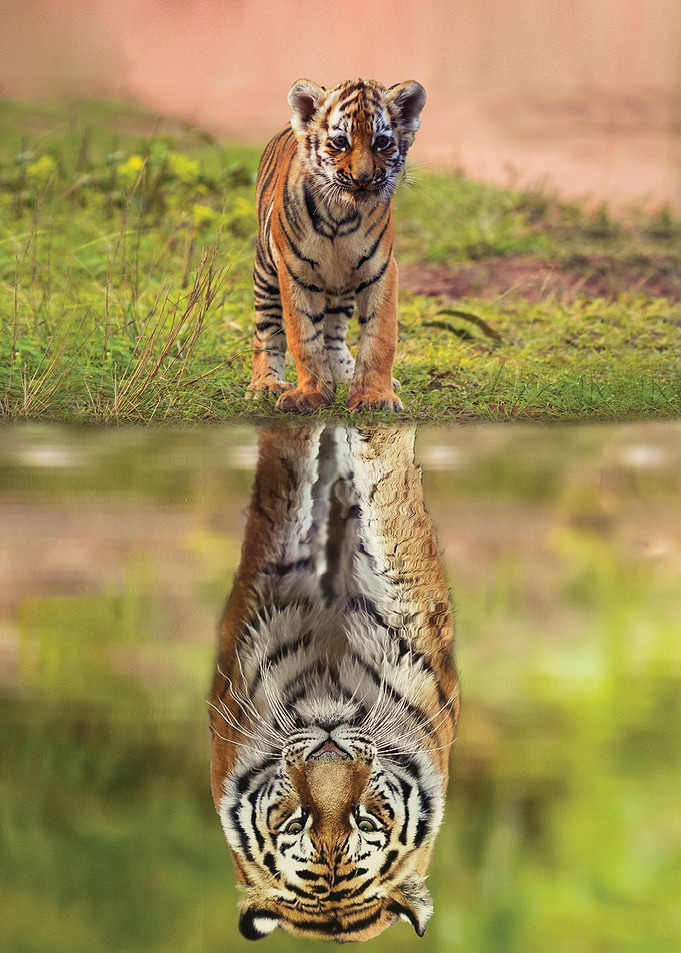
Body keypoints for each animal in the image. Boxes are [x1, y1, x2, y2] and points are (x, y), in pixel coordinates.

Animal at [245, 77, 427, 414]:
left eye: (382, 142)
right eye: (340, 142)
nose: (363, 178)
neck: (340, 214)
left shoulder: (381, 270)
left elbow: (379, 338)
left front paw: (374, 396)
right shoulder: (295, 273)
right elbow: (304, 338)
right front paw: (311, 395)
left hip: (342, 288)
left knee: (334, 333)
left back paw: (344, 375)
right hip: (265, 273)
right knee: (267, 329)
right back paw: (266, 385)